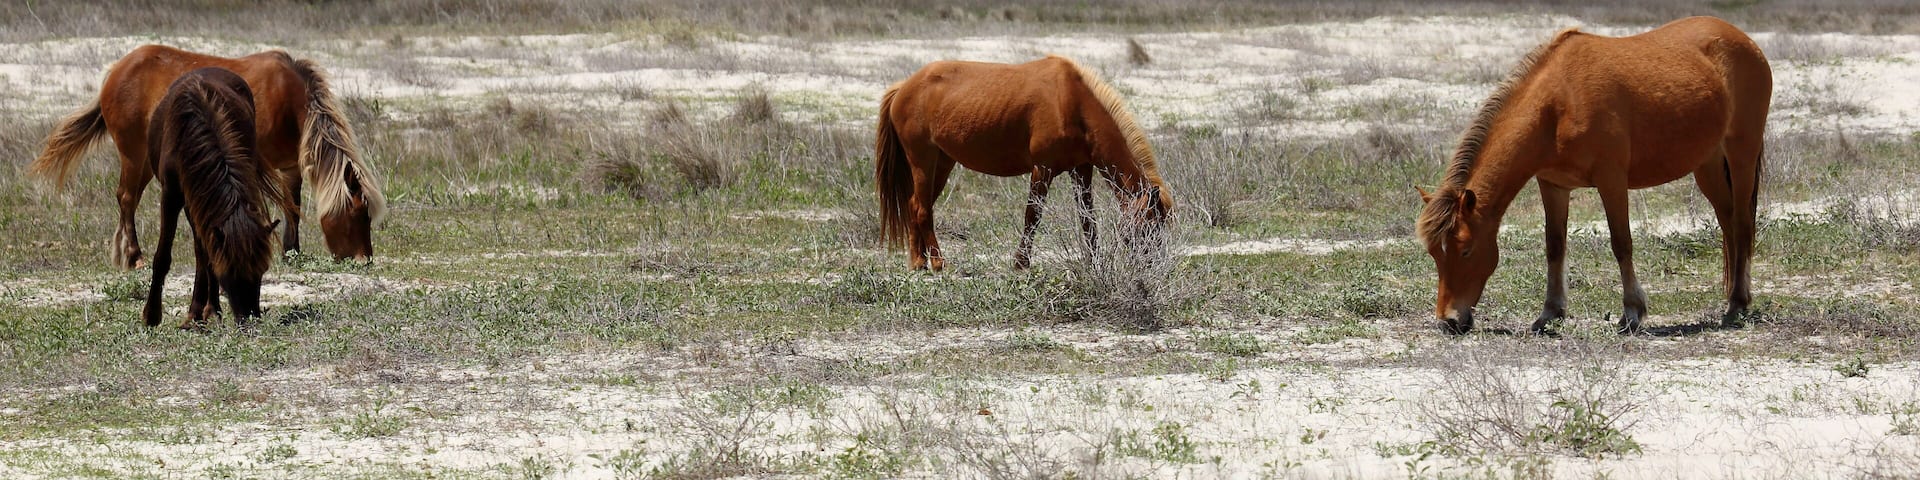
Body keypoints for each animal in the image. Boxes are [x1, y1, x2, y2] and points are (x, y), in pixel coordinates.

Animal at [33, 45, 385, 269]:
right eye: (357, 214)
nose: (364, 260)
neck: (290, 100)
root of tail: (114, 72)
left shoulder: (289, 167)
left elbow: (292, 207)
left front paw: (291, 252)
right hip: (133, 154)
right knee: (127, 198)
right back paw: (135, 256)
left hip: (145, 159)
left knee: (126, 198)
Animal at [139, 68, 285, 328]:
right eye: (231, 272)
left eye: (262, 269)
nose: (250, 318)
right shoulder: (172, 194)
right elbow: (163, 255)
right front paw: (151, 315)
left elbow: (207, 256)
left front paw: (208, 310)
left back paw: (205, 310)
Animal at [875, 55, 1172, 271]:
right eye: (1147, 226)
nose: (1151, 266)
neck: (1071, 102)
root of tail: (903, 87)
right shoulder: (1043, 169)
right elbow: (1033, 215)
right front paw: (1021, 262)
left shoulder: (1081, 170)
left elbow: (1088, 219)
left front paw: (1094, 261)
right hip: (922, 161)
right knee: (922, 209)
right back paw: (937, 262)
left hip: (942, 163)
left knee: (916, 205)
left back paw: (918, 261)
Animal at [1415, 16, 1771, 335]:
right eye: (1434, 253)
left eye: (1466, 250)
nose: (1448, 321)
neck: (1558, 105)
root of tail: (1744, 41)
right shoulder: (1553, 184)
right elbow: (1555, 246)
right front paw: (1550, 313)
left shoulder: (1611, 179)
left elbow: (1621, 243)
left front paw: (1632, 313)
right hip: (1707, 165)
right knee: (1727, 222)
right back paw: (1733, 298)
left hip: (1741, 153)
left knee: (1742, 224)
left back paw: (1737, 304)